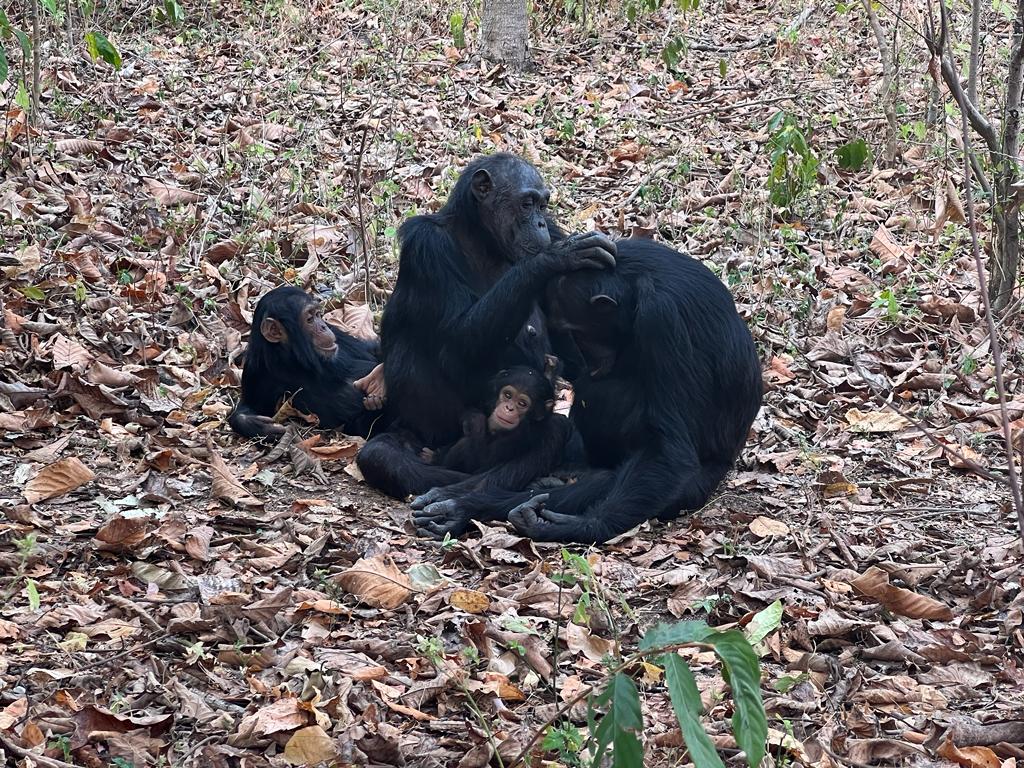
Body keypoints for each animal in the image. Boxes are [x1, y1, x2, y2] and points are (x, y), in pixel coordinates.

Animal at [230, 286, 385, 438]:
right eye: (309, 319)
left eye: (318, 315)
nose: (324, 326)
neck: (294, 361)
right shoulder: (256, 370)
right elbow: (249, 405)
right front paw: (256, 425)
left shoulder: (340, 335)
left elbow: (374, 351)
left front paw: (378, 382)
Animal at [421, 368, 573, 481]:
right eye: (508, 395)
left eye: (522, 403)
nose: (509, 408)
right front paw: (473, 418)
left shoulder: (521, 436)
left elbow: (481, 461)